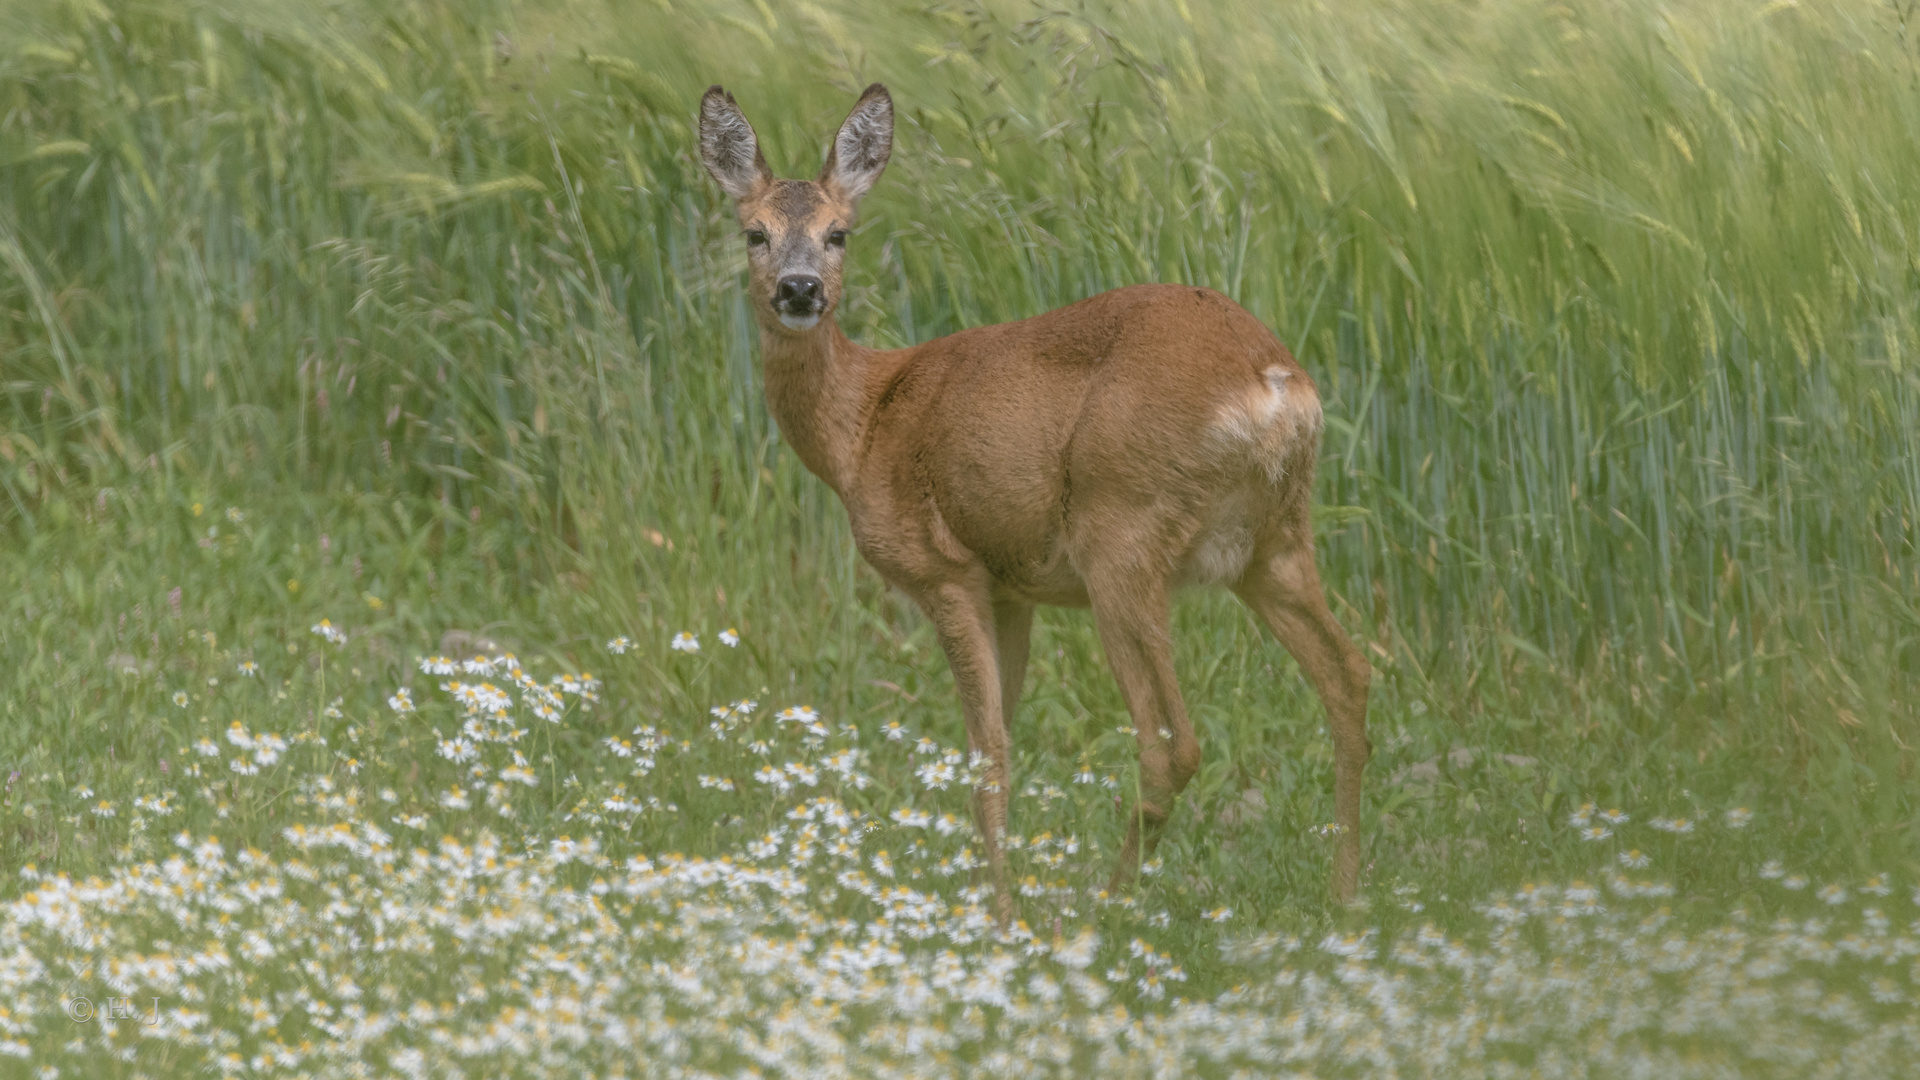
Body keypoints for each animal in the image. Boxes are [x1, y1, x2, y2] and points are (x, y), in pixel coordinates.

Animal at [698, 82, 1374, 914]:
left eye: (839, 234)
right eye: (754, 233)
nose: (800, 290)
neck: (864, 424)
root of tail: (1276, 385)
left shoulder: (943, 569)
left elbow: (987, 754)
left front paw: (1001, 914)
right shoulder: (1009, 588)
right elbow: (997, 742)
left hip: (1122, 533)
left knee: (1173, 743)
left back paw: (1104, 906)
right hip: (1274, 540)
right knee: (1350, 678)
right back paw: (1343, 898)